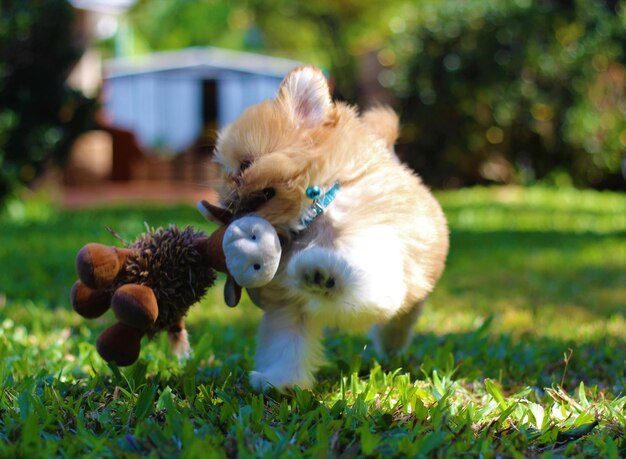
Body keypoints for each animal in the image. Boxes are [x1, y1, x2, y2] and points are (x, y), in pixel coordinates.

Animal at [212, 65, 446, 392]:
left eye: (245, 164)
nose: (225, 189)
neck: (314, 214)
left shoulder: (375, 252)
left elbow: (358, 279)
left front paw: (321, 275)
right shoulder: (289, 305)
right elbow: (287, 344)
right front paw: (280, 381)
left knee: (402, 318)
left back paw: (391, 341)